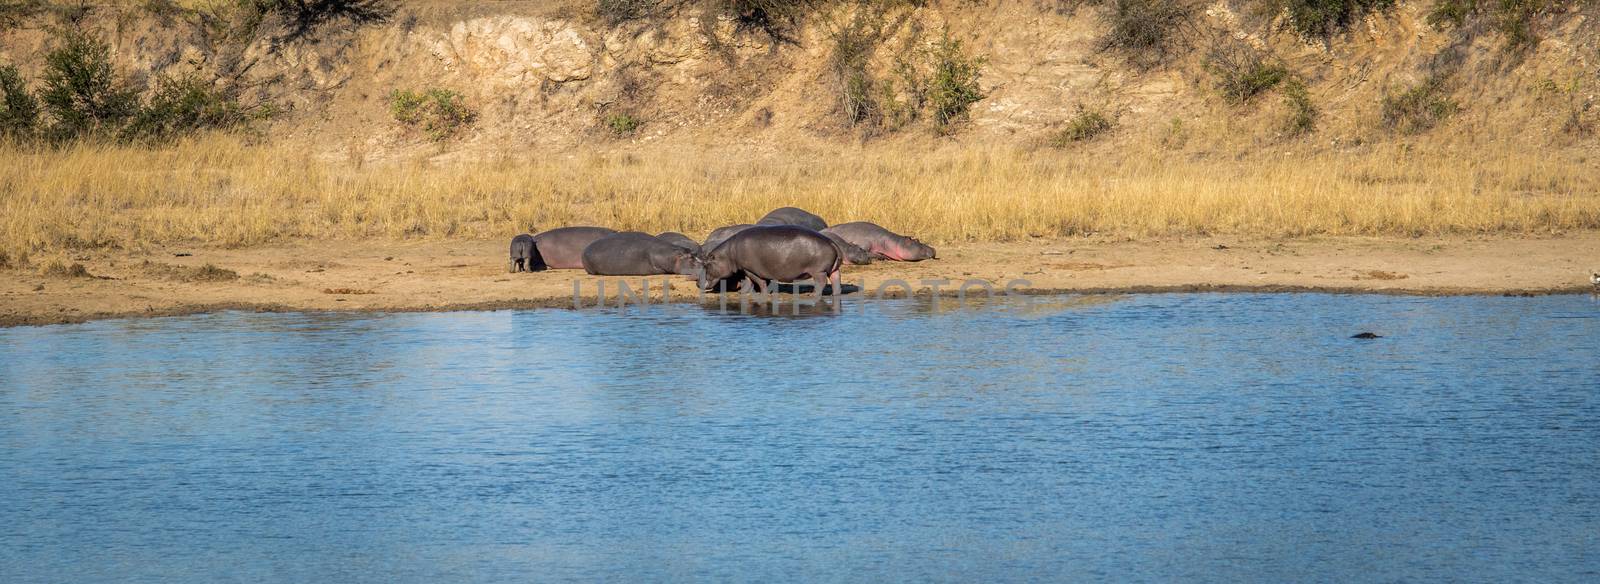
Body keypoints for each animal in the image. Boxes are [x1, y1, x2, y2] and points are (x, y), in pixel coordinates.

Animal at [704, 224, 844, 292]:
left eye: (706, 265)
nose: (702, 285)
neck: (728, 254)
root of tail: (832, 243)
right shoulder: (750, 269)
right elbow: (754, 281)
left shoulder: (749, 269)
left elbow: (756, 281)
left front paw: (762, 292)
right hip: (833, 269)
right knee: (836, 281)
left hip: (818, 271)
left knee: (821, 283)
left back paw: (813, 294)